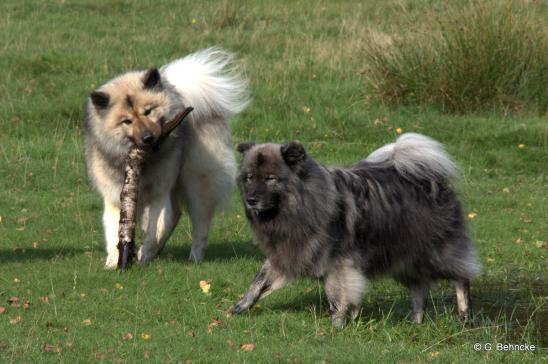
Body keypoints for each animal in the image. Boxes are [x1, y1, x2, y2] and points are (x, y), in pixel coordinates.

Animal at [84, 48, 249, 268]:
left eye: (148, 111)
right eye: (126, 121)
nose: (147, 138)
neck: (143, 163)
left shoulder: (159, 192)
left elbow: (159, 226)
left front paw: (144, 253)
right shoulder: (114, 197)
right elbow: (113, 231)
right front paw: (113, 260)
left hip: (197, 183)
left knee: (199, 227)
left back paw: (194, 258)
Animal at [233, 134, 482, 328]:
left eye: (270, 178)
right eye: (249, 178)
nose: (250, 200)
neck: (302, 205)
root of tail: (430, 180)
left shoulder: (338, 263)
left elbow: (336, 296)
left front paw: (337, 326)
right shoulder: (288, 252)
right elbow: (259, 280)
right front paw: (242, 305)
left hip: (436, 252)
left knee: (461, 277)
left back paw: (464, 315)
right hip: (405, 258)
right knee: (420, 290)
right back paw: (416, 321)